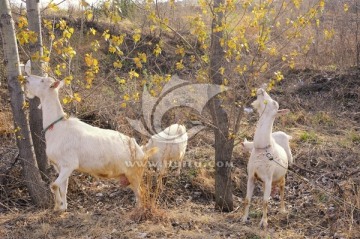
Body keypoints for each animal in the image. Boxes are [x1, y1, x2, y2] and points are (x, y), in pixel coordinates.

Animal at [25, 75, 155, 211]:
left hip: (134, 173)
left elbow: (54, 185)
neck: (57, 127)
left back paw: (138, 210)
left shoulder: (69, 164)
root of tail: (141, 150)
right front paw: (63, 207)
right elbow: (63, 188)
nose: (27, 78)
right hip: (126, 176)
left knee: (141, 192)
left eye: (42, 80)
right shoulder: (60, 166)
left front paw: (57, 206)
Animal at [240, 88, 292, 228]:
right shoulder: (252, 176)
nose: (261, 90)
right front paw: (244, 218)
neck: (262, 148)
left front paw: (264, 222)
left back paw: (282, 209)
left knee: (282, 192)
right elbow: (247, 199)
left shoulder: (268, 179)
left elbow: (265, 201)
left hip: (281, 177)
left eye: (275, 103)